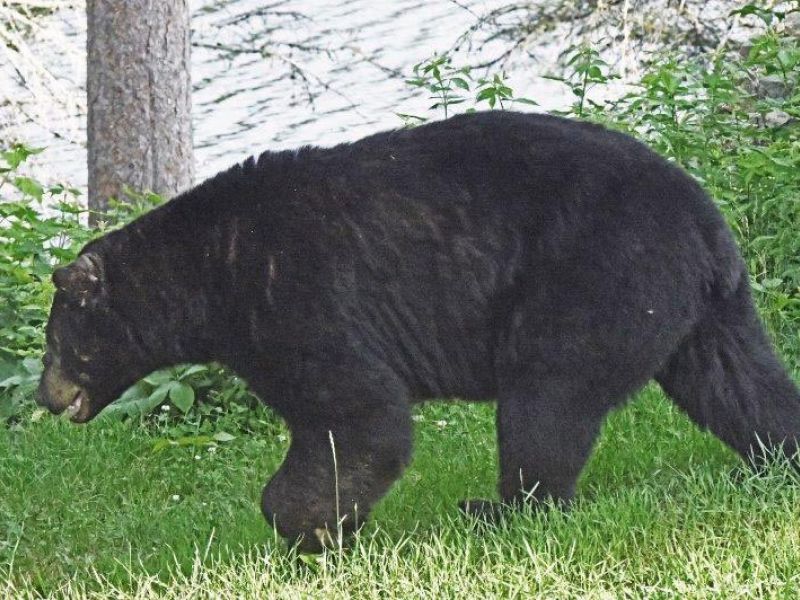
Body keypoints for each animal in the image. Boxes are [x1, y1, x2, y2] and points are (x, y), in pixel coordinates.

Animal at [37, 111, 800, 552]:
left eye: (57, 343)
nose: (46, 397)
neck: (207, 269)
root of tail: (705, 220)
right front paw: (330, 526)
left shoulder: (298, 296)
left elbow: (359, 412)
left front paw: (308, 526)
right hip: (697, 308)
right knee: (740, 383)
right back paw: (775, 459)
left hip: (595, 276)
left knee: (546, 400)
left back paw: (501, 510)